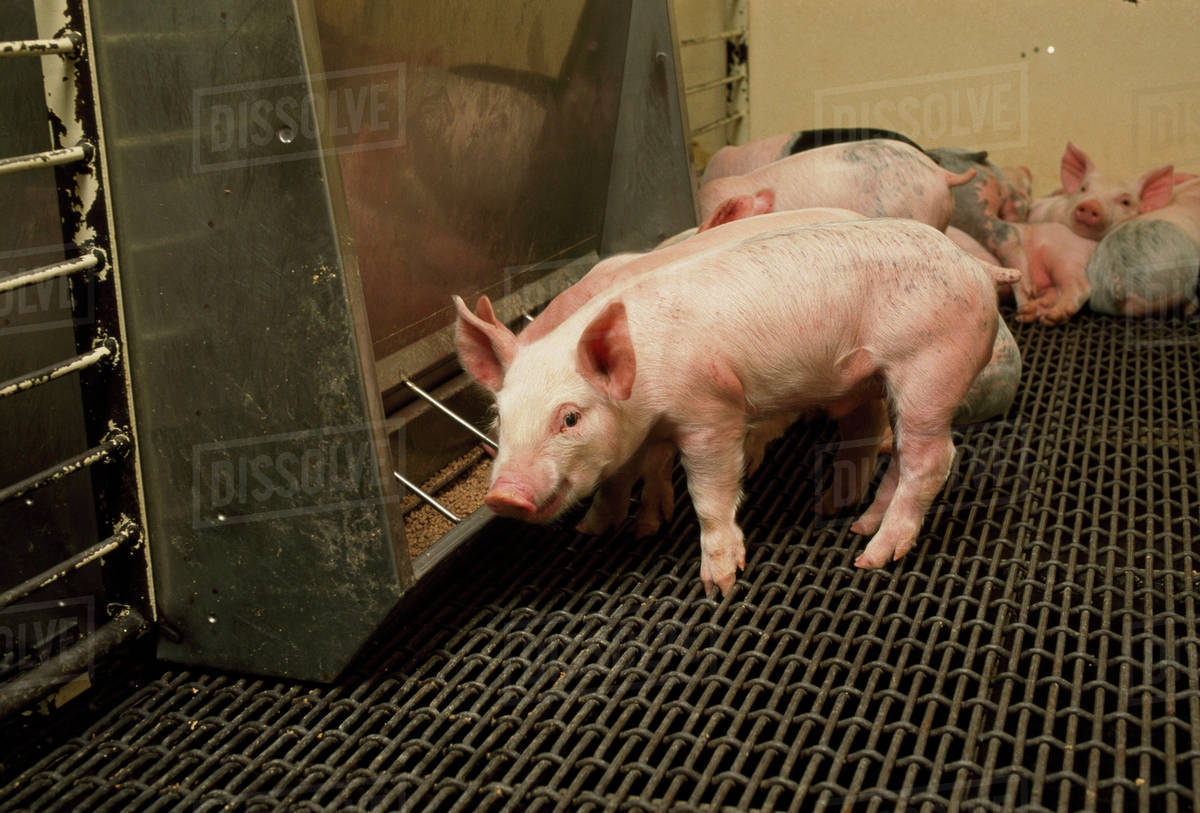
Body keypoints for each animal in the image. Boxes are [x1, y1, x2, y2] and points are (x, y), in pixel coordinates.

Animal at [456, 218, 1019, 595]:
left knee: (934, 459)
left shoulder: (711, 410)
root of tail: (977, 265)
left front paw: (719, 585)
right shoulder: (643, 434)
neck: (646, 391)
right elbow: (623, 477)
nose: (504, 496)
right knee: (901, 454)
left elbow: (709, 491)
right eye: (500, 418)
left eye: (569, 417)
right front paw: (601, 529)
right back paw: (856, 522)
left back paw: (870, 556)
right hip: (890, 380)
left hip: (929, 368)